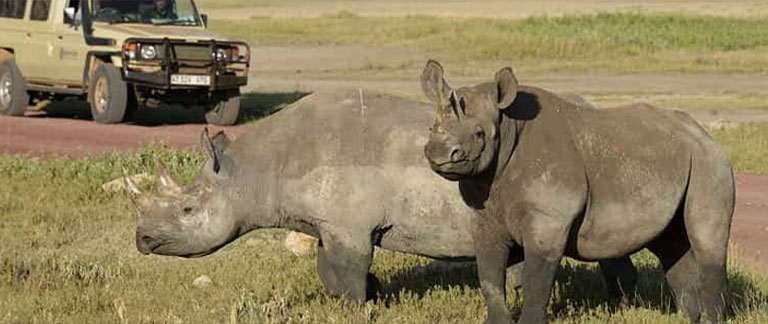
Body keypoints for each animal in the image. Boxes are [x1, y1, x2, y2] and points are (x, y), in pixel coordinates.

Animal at [130, 88, 636, 304]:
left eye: (187, 209)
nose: (141, 240)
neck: (254, 170)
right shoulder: (330, 223)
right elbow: (330, 270)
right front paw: (369, 296)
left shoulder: (349, 225)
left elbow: (348, 271)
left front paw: (360, 305)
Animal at [424, 60, 736, 324]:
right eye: (430, 128)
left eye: (478, 133)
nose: (438, 153)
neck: (508, 126)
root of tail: (704, 133)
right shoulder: (484, 214)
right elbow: (489, 275)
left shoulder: (549, 220)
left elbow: (536, 277)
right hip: (675, 162)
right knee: (670, 244)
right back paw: (686, 317)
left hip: (709, 162)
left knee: (706, 241)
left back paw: (710, 320)